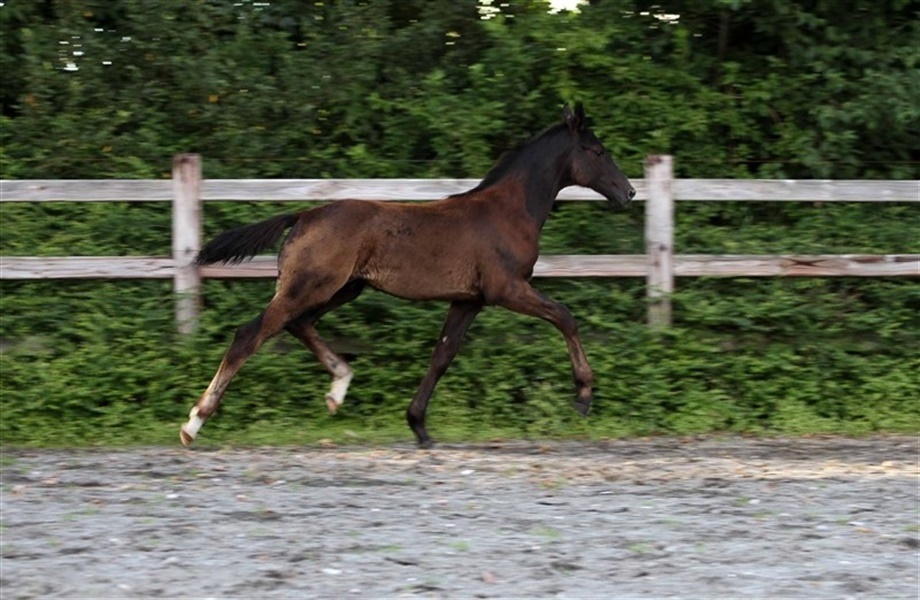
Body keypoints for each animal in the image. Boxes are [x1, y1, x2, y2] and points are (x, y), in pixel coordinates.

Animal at [180, 104, 635, 448]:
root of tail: (305, 214)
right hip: (310, 287)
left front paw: (419, 426)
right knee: (251, 333)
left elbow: (442, 356)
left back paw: (339, 387)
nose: (628, 192)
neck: (508, 211)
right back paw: (194, 423)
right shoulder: (506, 289)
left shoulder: (468, 299)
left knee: (299, 324)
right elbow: (565, 317)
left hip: (342, 288)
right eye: (596, 150)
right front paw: (583, 397)